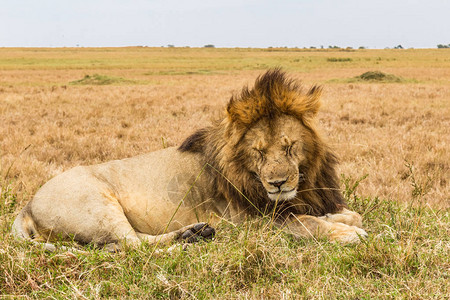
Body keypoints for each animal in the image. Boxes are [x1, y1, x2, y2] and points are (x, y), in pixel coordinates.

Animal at [12, 69, 368, 250]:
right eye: (258, 152)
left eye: (290, 146)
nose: (278, 183)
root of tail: (27, 205)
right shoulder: (250, 223)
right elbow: (306, 223)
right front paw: (347, 234)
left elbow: (345, 214)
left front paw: (344, 219)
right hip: (97, 204)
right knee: (133, 247)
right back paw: (187, 242)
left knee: (133, 242)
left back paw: (194, 234)